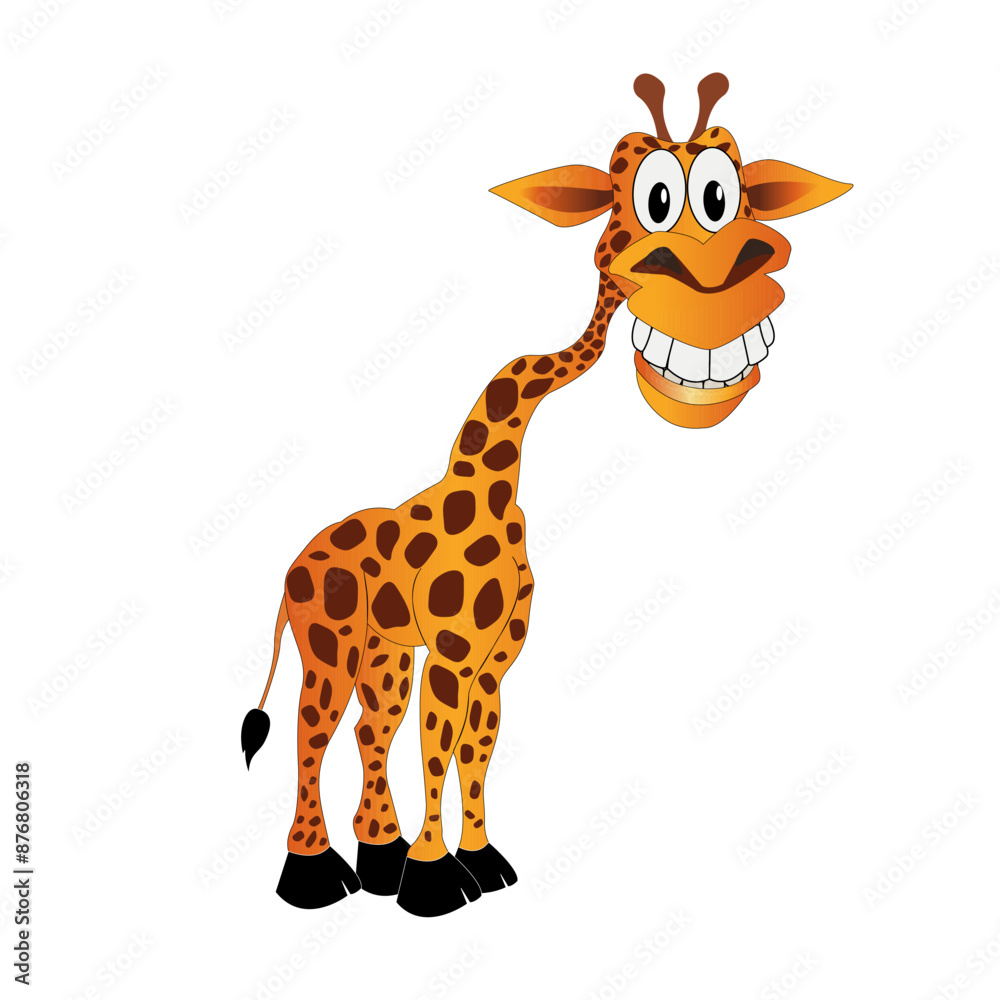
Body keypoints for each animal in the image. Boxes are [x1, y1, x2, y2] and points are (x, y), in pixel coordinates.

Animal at [241, 71, 850, 917]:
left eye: (727, 194)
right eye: (651, 197)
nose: (728, 275)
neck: (497, 478)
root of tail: (291, 567)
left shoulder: (497, 659)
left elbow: (473, 750)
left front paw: (475, 865)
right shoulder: (456, 651)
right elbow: (442, 747)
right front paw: (434, 883)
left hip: (384, 652)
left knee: (368, 731)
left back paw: (375, 859)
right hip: (329, 640)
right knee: (311, 732)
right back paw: (314, 878)